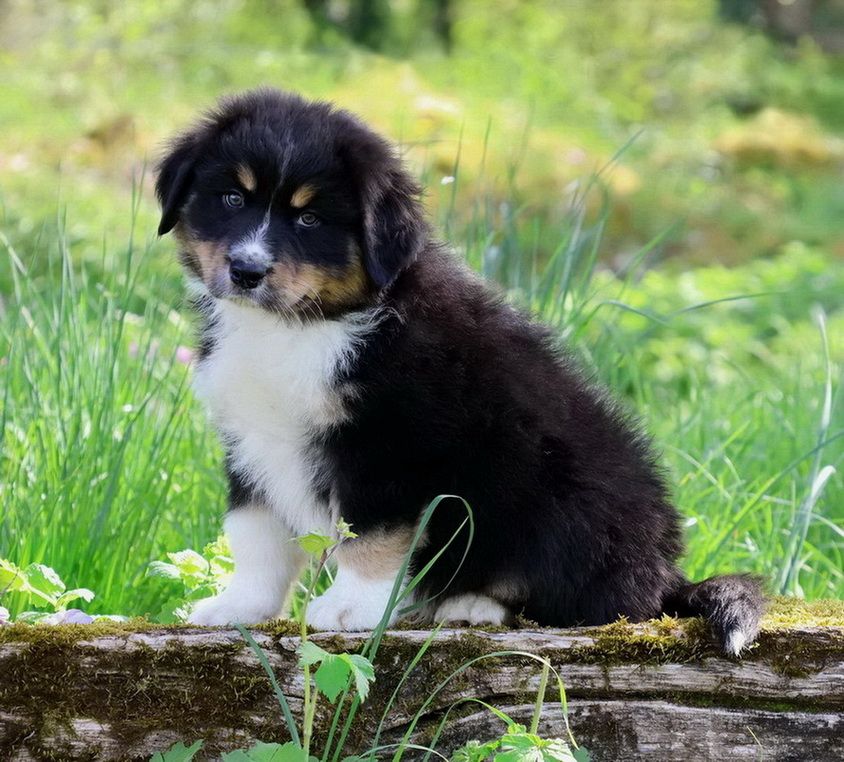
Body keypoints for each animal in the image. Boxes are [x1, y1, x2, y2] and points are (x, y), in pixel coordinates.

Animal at [155, 88, 764, 654]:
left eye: (309, 218)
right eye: (232, 197)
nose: (246, 270)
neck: (304, 327)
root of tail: (667, 575)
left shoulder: (392, 446)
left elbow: (373, 536)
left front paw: (350, 607)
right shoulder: (251, 441)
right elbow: (255, 534)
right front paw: (239, 607)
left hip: (563, 496)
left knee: (590, 601)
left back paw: (472, 605)